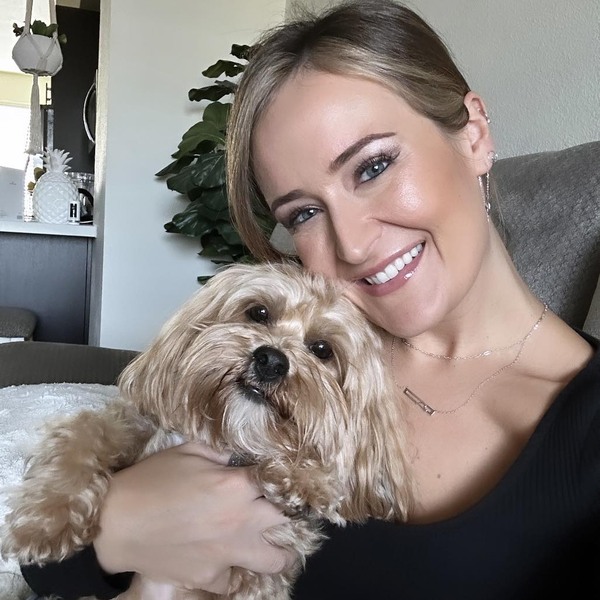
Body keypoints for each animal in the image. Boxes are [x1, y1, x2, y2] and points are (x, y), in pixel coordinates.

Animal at [2, 261, 413, 600]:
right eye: (258, 312)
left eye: (322, 349)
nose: (271, 360)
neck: (232, 435)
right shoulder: (130, 423)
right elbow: (81, 435)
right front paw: (43, 525)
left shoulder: (266, 566)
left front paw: (306, 481)